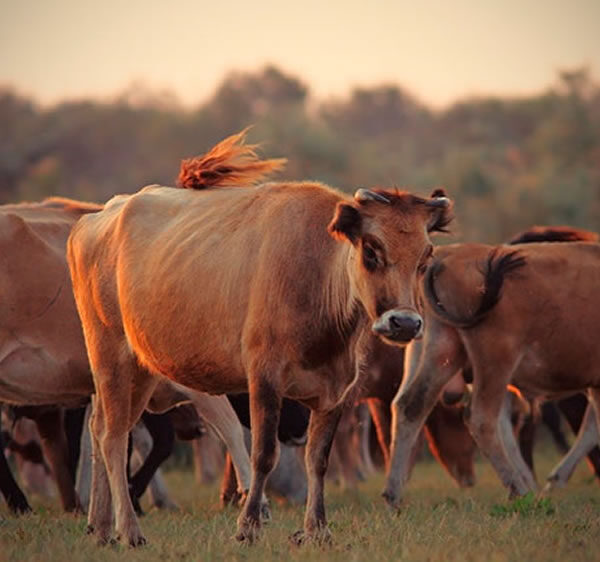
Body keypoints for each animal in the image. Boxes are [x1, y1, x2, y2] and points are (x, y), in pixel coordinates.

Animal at [68, 128, 452, 544]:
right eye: (371, 249)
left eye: (425, 256)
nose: (405, 323)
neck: (317, 276)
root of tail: (97, 218)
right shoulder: (264, 378)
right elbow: (264, 454)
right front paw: (248, 525)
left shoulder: (335, 391)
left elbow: (318, 459)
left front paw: (316, 529)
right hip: (109, 355)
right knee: (112, 437)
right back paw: (129, 529)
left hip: (140, 371)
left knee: (103, 428)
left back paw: (101, 527)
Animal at [384, 238, 600, 506]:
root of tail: (445, 255)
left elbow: (592, 427)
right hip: (495, 360)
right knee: (482, 419)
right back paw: (519, 488)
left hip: (439, 352)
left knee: (410, 407)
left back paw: (393, 495)